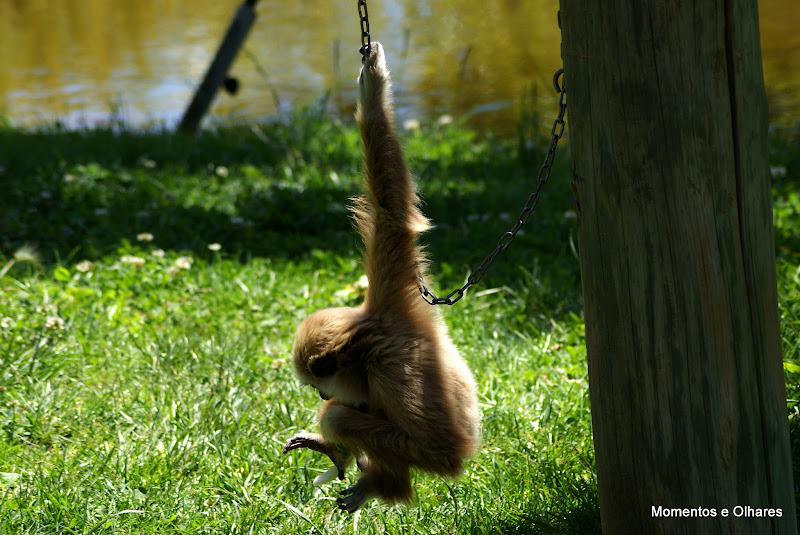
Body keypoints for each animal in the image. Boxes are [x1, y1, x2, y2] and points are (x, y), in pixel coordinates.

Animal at [282, 42, 481, 513]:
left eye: (316, 384)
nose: (320, 395)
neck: (369, 337)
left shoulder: (395, 371)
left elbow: (446, 451)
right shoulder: (390, 283)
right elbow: (391, 210)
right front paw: (372, 92)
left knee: (344, 415)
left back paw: (383, 484)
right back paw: (338, 453)